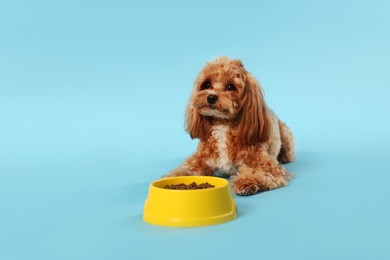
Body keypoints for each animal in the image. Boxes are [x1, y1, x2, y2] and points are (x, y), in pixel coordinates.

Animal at [165, 56, 296, 195]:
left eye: (230, 86)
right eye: (207, 84)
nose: (211, 97)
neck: (223, 124)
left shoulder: (265, 164)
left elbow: (257, 172)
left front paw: (246, 181)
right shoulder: (199, 159)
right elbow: (186, 169)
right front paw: (173, 178)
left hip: (285, 135)